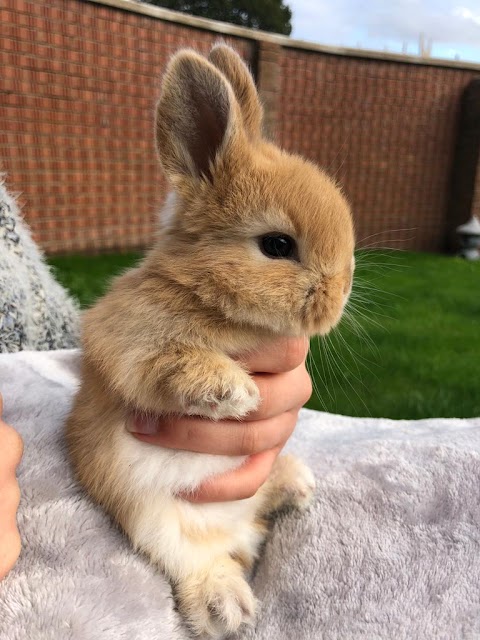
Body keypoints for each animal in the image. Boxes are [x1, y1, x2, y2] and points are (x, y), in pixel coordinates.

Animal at [65, 42, 354, 636]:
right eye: (277, 245)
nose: (339, 296)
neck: (208, 297)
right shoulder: (129, 340)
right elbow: (170, 362)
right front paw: (234, 392)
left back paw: (296, 484)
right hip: (156, 522)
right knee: (196, 563)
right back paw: (227, 607)